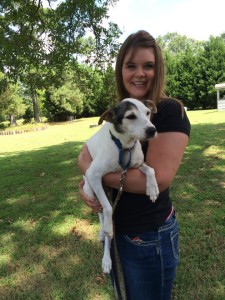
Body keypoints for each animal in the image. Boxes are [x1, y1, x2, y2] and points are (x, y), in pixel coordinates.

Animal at [83, 98, 159, 274]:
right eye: (130, 116)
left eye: (147, 112)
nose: (152, 130)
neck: (124, 146)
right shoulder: (93, 174)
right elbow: (108, 208)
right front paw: (107, 228)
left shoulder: (137, 166)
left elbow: (151, 170)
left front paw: (152, 189)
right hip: (89, 189)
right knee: (101, 212)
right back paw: (105, 252)